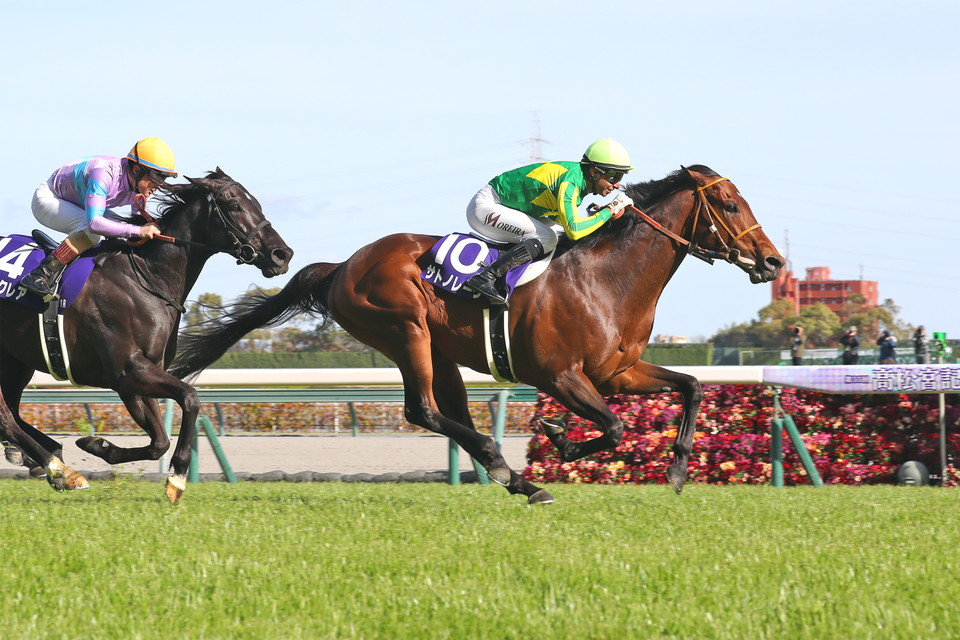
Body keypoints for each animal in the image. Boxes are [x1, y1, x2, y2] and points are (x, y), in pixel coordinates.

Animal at [0, 168, 293, 503]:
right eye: (234, 206)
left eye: (256, 203)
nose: (282, 254)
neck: (146, 276)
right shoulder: (128, 371)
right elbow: (190, 398)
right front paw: (177, 478)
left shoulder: (140, 376)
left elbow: (159, 441)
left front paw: (97, 445)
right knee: (6, 418)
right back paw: (60, 469)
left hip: (14, 362)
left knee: (11, 414)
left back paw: (44, 456)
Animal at [170, 165, 783, 503]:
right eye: (730, 204)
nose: (774, 262)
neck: (606, 279)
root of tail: (342, 265)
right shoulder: (559, 376)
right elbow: (610, 428)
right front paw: (560, 439)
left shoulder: (617, 372)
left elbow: (692, 386)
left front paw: (677, 469)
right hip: (405, 329)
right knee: (422, 409)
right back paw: (508, 468)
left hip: (440, 351)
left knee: (451, 411)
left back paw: (513, 478)